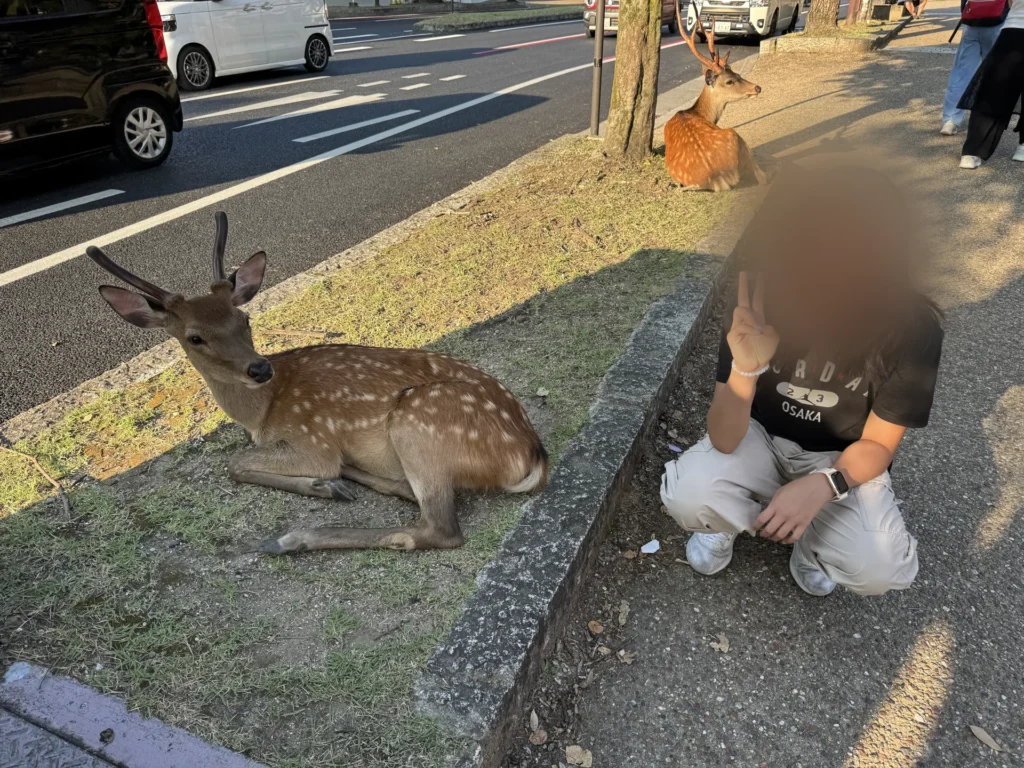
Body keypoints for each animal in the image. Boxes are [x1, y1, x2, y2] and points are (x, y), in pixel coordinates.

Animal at [87, 212, 549, 554]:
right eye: (194, 337)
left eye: (244, 317)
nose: (259, 369)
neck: (261, 414)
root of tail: (529, 455)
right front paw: (328, 484)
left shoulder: (312, 438)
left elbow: (234, 464)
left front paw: (320, 485)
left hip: (420, 421)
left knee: (439, 528)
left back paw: (294, 537)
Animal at [663, 5, 768, 192]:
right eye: (729, 81)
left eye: (738, 73)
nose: (757, 87)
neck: (700, 113)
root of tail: (717, 176)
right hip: (734, 135)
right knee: (763, 177)